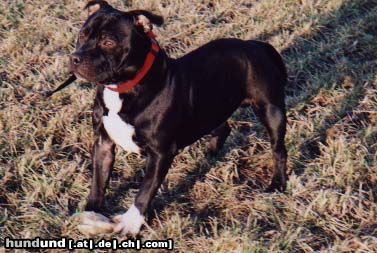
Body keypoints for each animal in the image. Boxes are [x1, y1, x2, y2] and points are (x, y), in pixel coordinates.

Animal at [70, 0, 286, 236]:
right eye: (82, 35)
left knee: (278, 149)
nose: (75, 58)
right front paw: (91, 212)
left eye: (108, 42)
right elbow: (98, 182)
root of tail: (257, 45)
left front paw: (131, 222)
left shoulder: (161, 153)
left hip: (271, 111)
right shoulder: (103, 144)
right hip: (213, 104)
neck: (123, 88)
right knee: (222, 127)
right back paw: (210, 155)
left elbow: (145, 190)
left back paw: (277, 185)